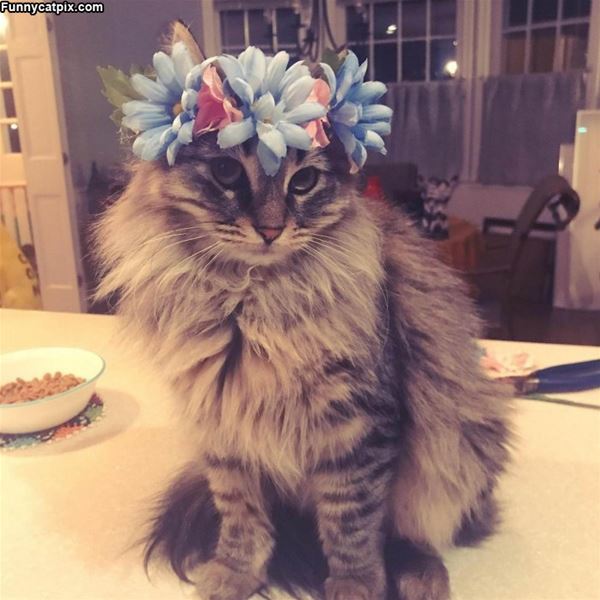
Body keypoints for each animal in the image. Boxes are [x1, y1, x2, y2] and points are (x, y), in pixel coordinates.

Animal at [95, 104, 512, 600]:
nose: (271, 230)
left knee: (417, 530)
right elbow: (241, 518)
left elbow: (351, 524)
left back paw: (421, 575)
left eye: (304, 181)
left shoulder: (358, 428)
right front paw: (235, 574)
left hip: (458, 444)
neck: (250, 304)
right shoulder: (222, 424)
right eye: (226, 171)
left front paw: (355, 585)